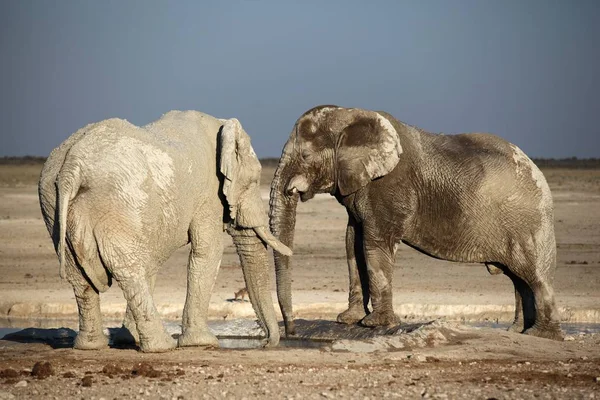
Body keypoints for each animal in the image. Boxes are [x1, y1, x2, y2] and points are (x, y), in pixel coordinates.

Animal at [38, 110, 292, 354]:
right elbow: (208, 250)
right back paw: (162, 346)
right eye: (254, 181)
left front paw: (128, 340)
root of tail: (72, 166)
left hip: (53, 203)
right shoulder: (208, 194)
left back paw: (92, 346)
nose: (266, 344)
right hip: (119, 202)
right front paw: (201, 343)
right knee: (129, 268)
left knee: (79, 275)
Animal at [270, 104, 564, 340]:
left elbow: (374, 243)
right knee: (519, 280)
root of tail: (536, 170)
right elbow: (352, 244)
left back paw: (541, 335)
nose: (291, 332)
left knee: (534, 276)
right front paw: (348, 319)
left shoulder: (389, 187)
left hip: (528, 223)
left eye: (305, 156)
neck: (351, 114)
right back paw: (518, 332)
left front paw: (375, 324)